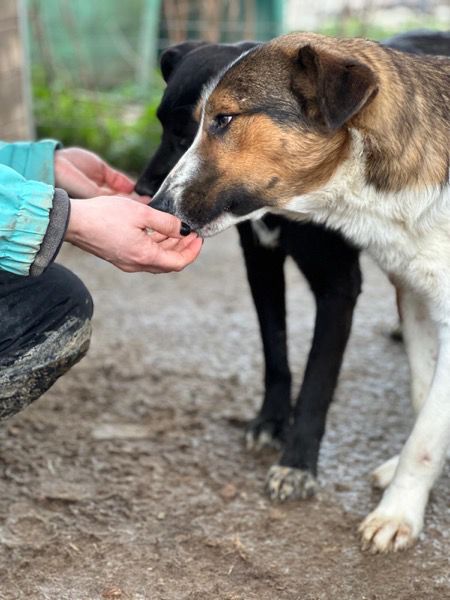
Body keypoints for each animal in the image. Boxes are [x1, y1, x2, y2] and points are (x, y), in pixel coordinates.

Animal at [148, 32, 450, 553]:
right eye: (174, 124)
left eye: (223, 119)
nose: (152, 203)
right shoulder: (410, 294)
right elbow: (421, 397)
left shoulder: (345, 289)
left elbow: (421, 432)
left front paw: (397, 511)